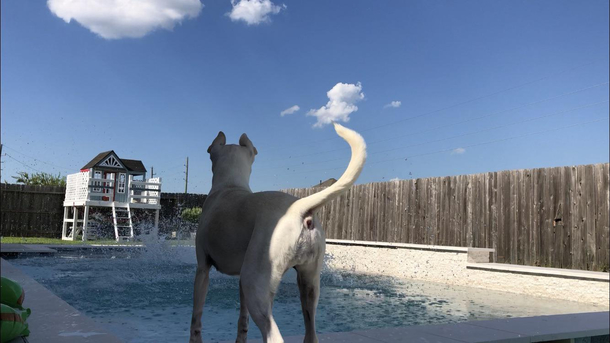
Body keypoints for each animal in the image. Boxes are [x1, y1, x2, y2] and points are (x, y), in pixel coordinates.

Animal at [188, 122, 364, 342]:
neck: (230, 185)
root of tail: (298, 208)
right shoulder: (240, 284)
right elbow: (242, 321)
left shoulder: (203, 269)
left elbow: (196, 316)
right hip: (308, 285)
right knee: (310, 330)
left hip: (255, 284)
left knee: (274, 335)